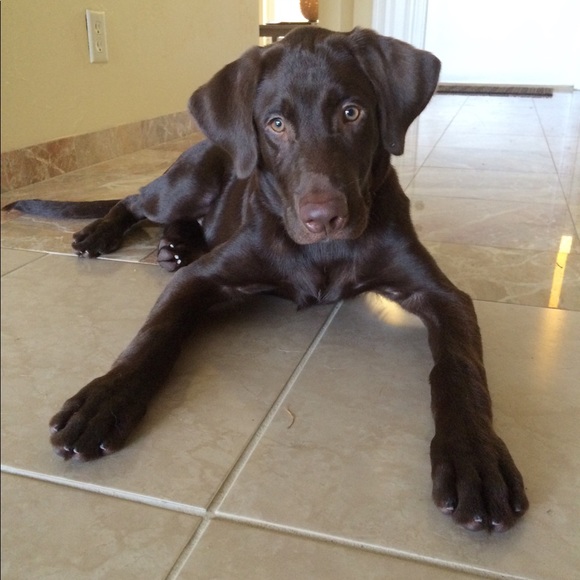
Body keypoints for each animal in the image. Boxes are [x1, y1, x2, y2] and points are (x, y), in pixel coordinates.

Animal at [4, 27, 528, 532]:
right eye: (276, 124)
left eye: (352, 113)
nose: (324, 218)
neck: (322, 251)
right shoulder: (202, 279)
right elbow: (153, 337)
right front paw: (104, 399)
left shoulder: (440, 294)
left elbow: (460, 369)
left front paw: (476, 457)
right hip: (185, 182)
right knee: (133, 199)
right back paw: (103, 234)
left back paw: (176, 246)